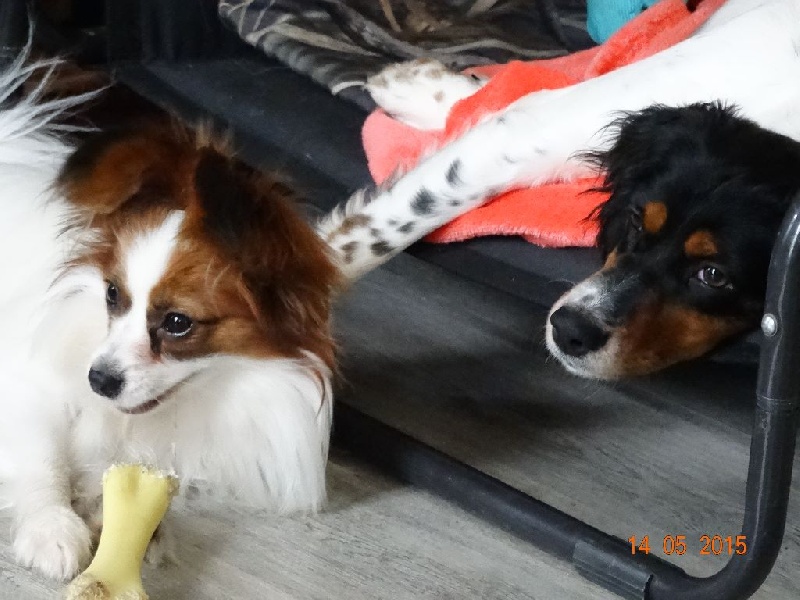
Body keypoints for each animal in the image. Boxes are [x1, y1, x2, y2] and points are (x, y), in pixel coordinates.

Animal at [0, 53, 339, 580]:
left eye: (178, 323)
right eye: (112, 295)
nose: (99, 379)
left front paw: (128, 519)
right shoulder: (25, 386)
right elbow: (41, 459)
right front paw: (51, 528)